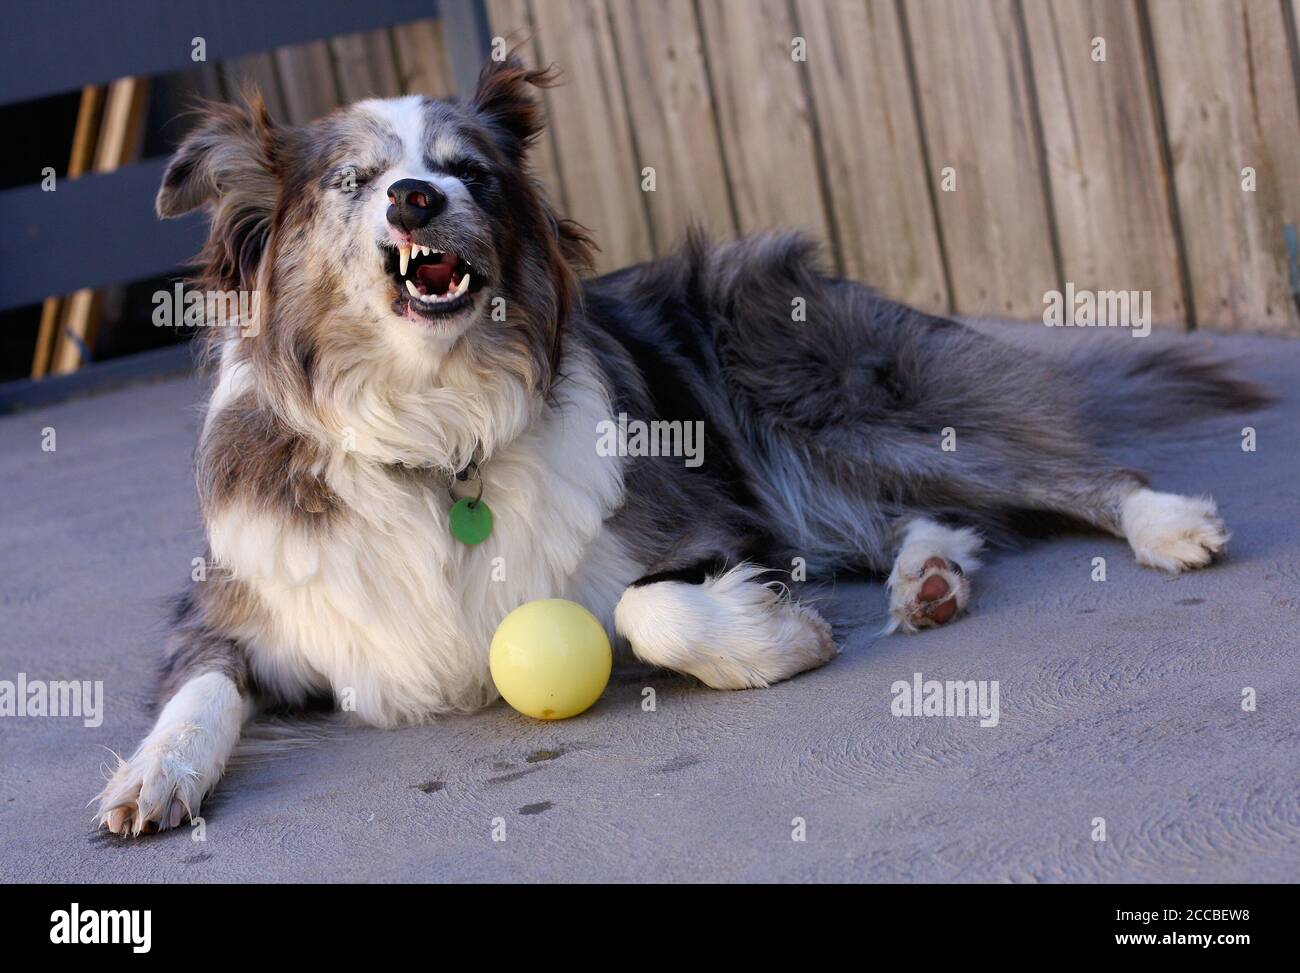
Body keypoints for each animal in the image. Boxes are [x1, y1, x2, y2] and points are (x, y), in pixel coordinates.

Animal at [96, 56, 1274, 837]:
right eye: (351, 181)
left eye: (470, 170)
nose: (418, 197)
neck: (435, 433)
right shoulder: (228, 604)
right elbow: (201, 688)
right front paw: (155, 775)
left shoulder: (713, 521)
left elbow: (643, 607)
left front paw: (771, 638)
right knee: (916, 517)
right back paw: (930, 577)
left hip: (827, 410)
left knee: (1063, 469)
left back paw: (1163, 522)